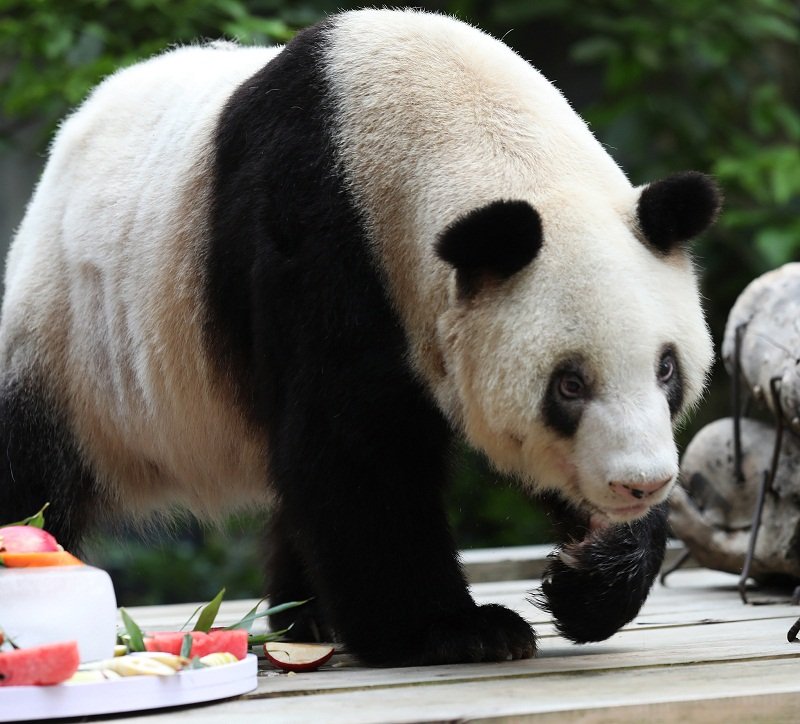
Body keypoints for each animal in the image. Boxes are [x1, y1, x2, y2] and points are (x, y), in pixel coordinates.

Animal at [0, 9, 720, 666]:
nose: (640, 485)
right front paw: (457, 630)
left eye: (666, 369)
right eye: (569, 384)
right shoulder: (322, 243)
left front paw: (590, 576)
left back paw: (306, 616)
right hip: (70, 337)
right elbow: (352, 447)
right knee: (29, 468)